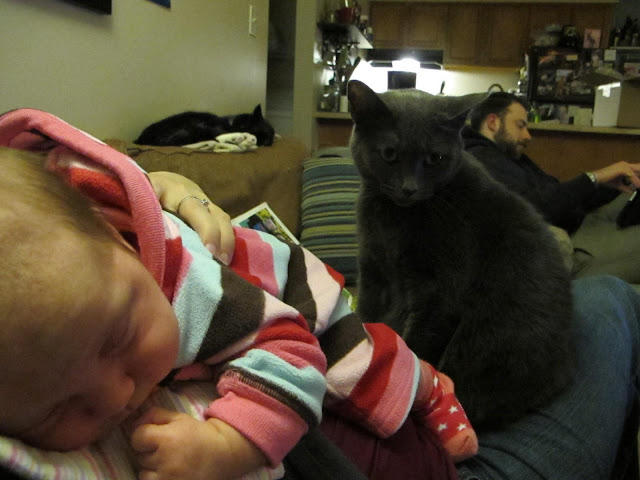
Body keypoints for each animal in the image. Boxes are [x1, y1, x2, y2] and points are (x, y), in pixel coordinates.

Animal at [347, 80, 576, 431]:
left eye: (435, 157)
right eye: (389, 153)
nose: (409, 188)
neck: (393, 221)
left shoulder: (441, 289)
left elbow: (419, 342)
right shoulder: (373, 271)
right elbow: (369, 316)